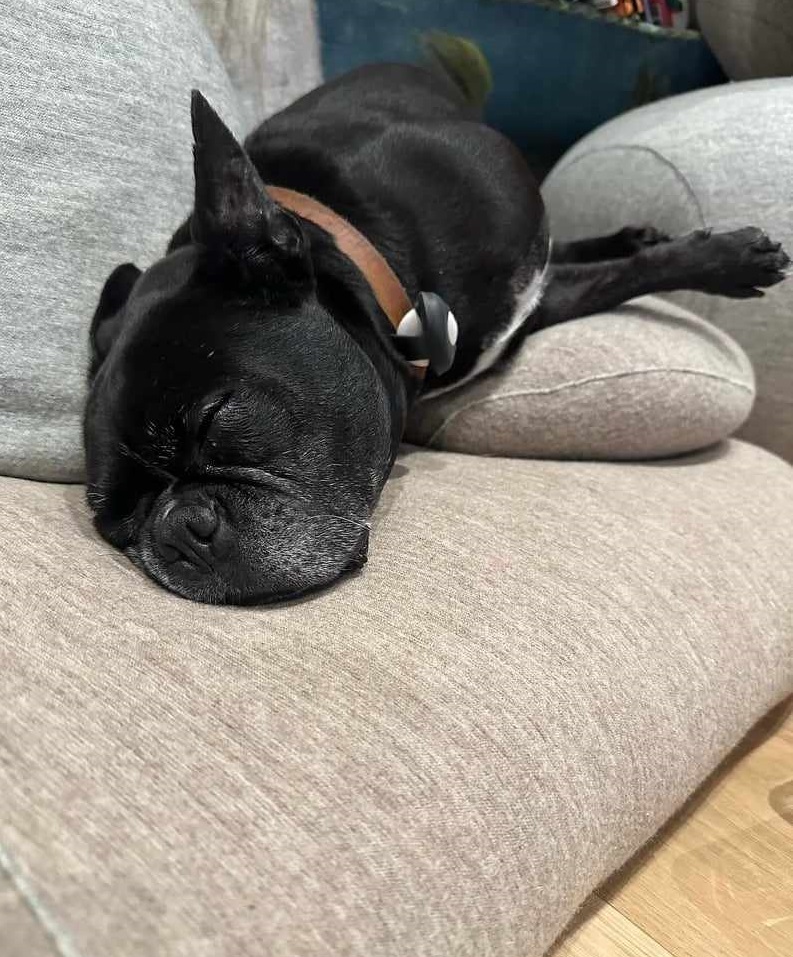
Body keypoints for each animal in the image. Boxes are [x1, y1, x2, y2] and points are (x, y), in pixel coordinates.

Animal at [84, 63, 789, 605]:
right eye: (119, 527)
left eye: (215, 420)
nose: (175, 529)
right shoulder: (538, 302)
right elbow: (609, 279)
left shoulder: (528, 284)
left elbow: (622, 274)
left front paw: (725, 259)